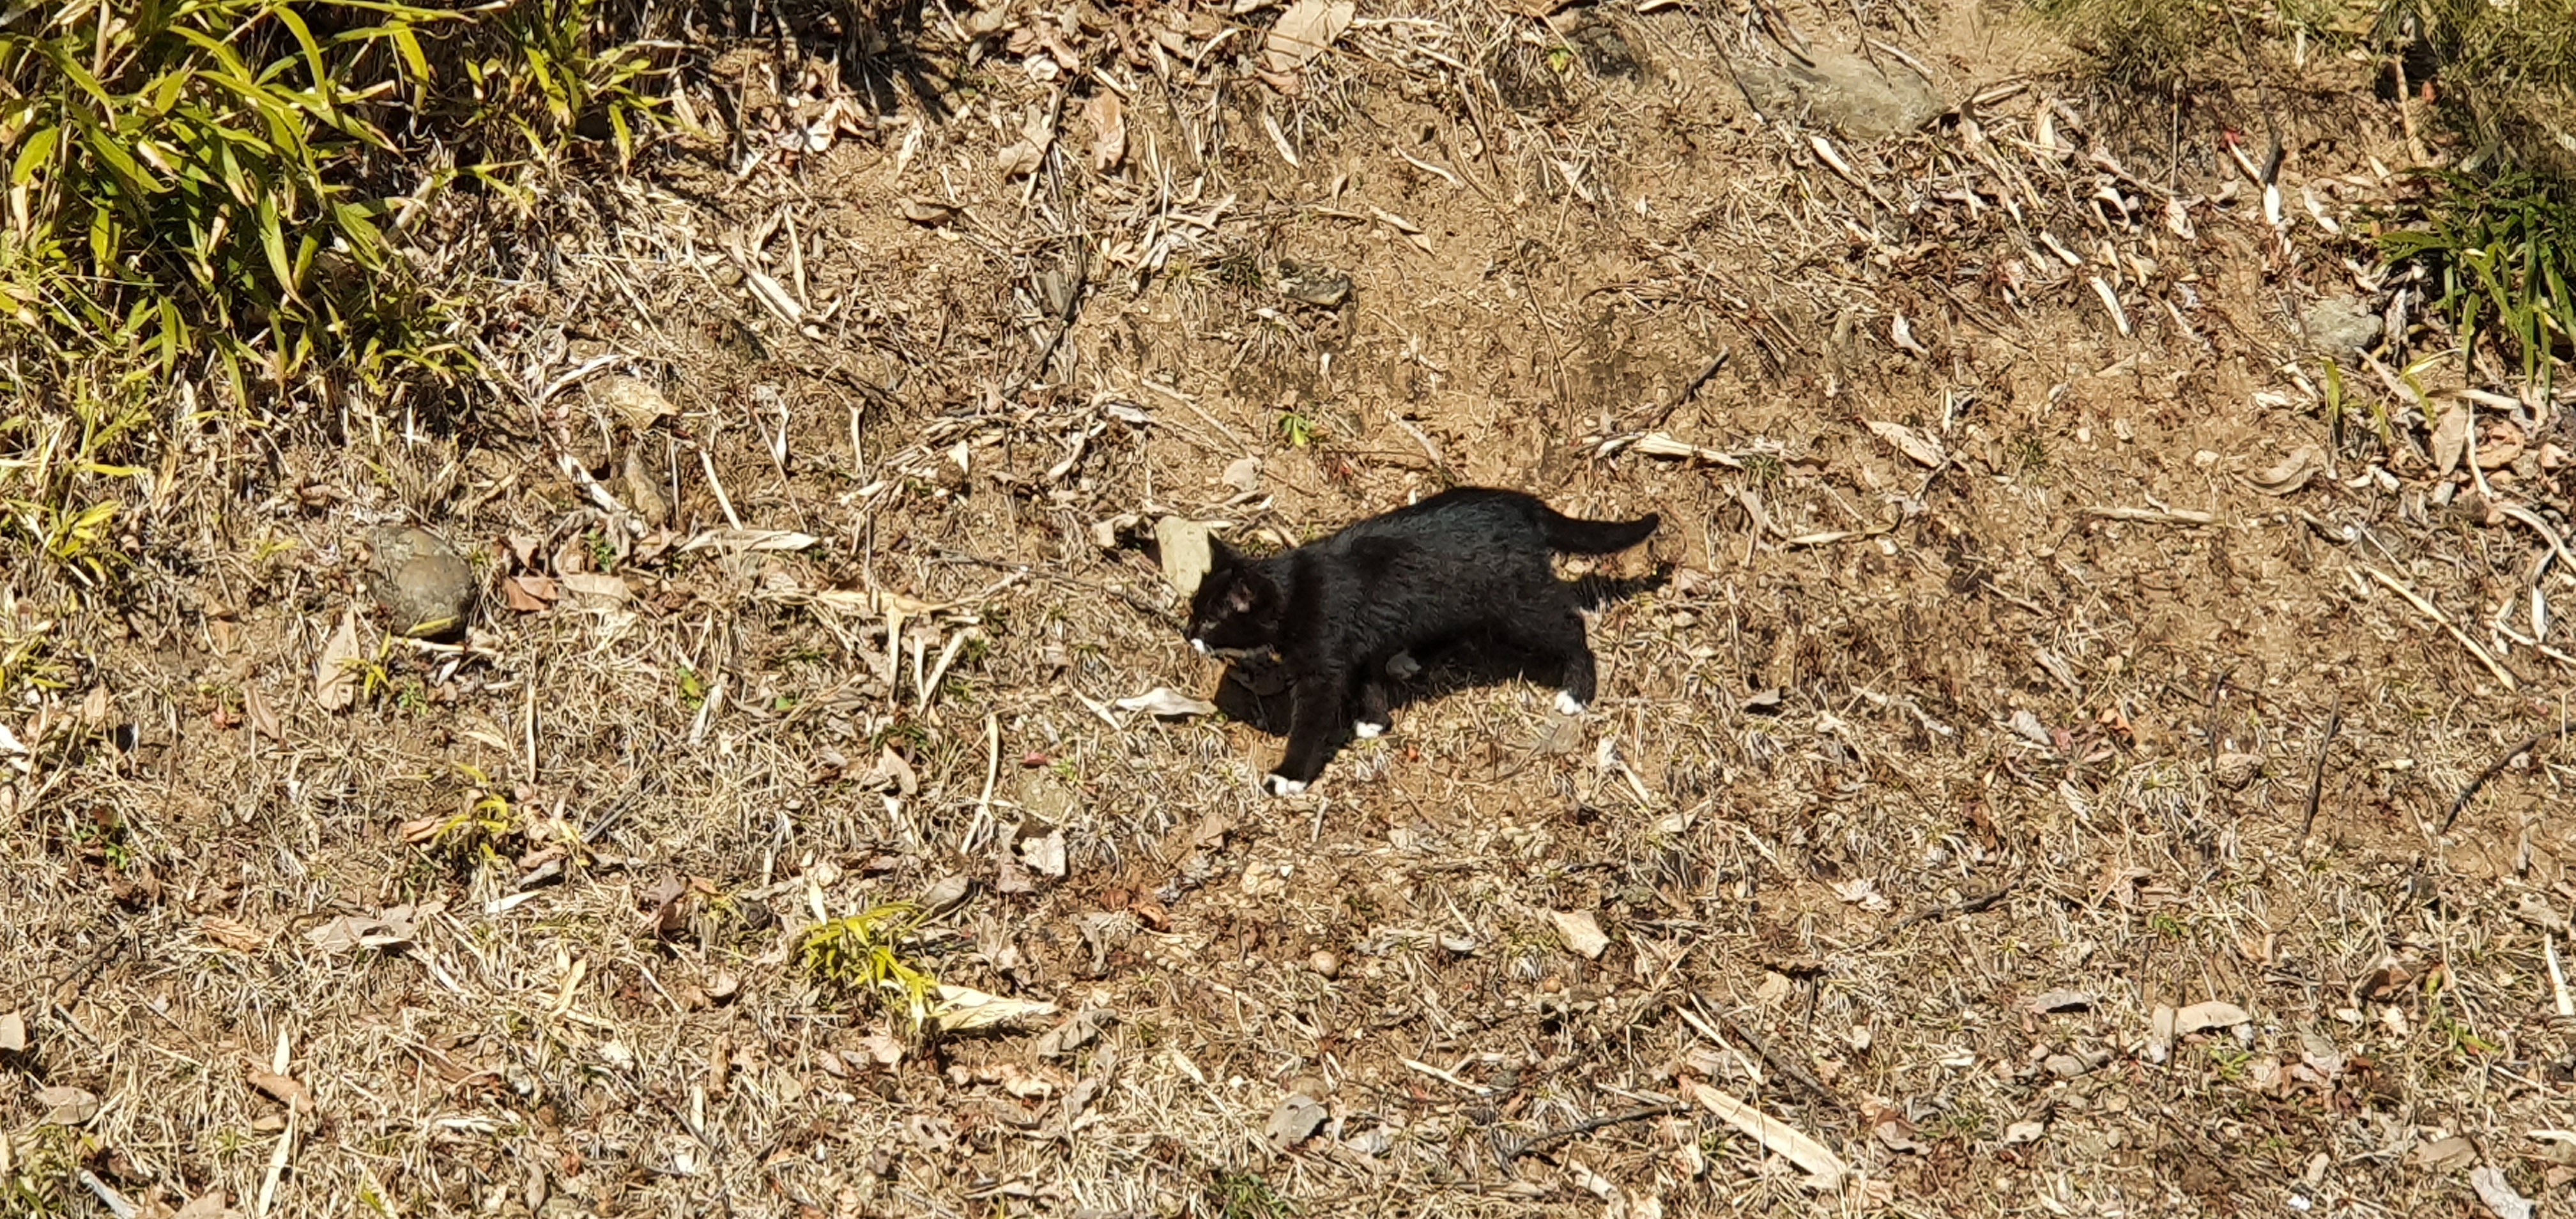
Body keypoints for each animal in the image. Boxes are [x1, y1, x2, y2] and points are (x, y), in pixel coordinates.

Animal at [1183, 487, 1661, 796]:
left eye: (1210, 620)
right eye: (1194, 609)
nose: (1187, 634)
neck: (1296, 591)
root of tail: (1523, 505)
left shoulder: (1324, 667)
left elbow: (1310, 721)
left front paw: (1289, 776)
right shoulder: (1355, 647)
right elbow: (1367, 682)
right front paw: (1375, 721)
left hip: (1518, 602)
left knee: (1570, 625)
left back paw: (1576, 691)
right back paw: (1410, 657)